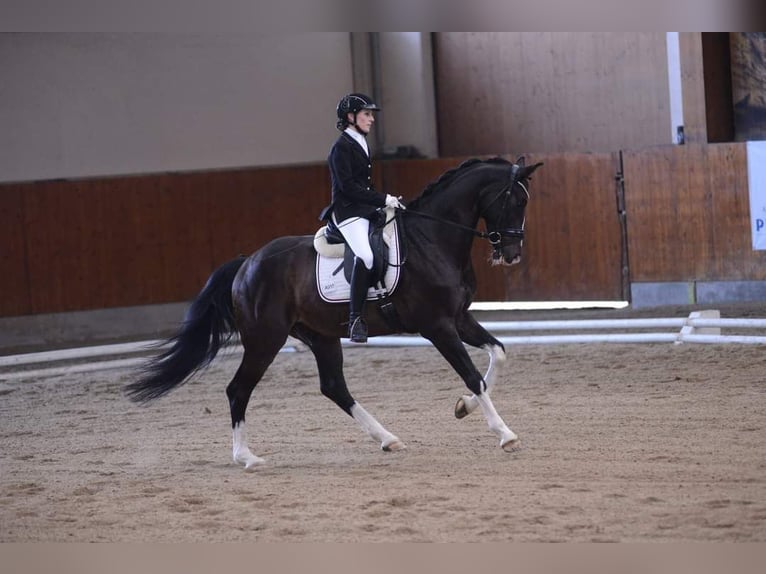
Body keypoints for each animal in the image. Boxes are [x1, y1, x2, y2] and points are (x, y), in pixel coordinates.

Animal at [126, 155, 544, 470]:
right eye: (516, 201)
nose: (512, 255)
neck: (432, 239)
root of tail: (247, 264)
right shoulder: (437, 326)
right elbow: (473, 375)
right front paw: (506, 435)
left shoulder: (459, 318)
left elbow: (497, 355)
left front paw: (463, 407)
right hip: (265, 339)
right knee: (238, 389)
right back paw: (247, 457)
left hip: (321, 336)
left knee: (333, 386)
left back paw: (388, 439)